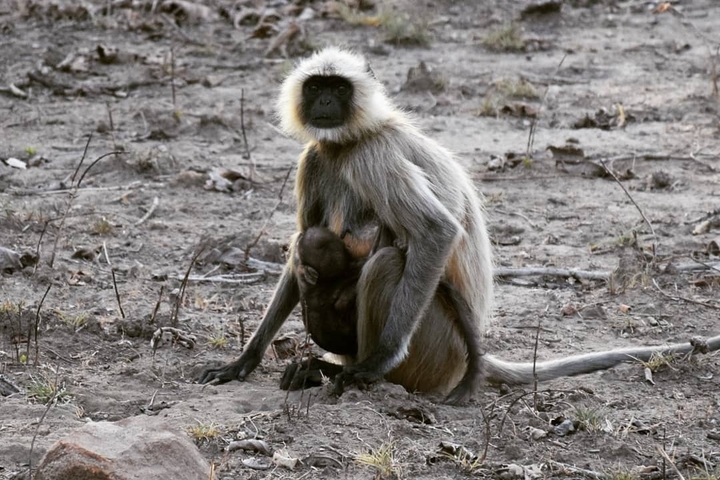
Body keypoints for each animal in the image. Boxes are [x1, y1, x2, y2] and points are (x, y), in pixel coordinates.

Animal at [198, 47, 720, 402]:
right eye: (316, 87)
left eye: (340, 88)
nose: (325, 101)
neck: (347, 142)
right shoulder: (314, 158)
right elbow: (299, 249)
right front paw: (245, 359)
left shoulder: (373, 156)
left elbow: (435, 231)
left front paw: (376, 362)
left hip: (437, 349)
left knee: (387, 264)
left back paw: (361, 373)